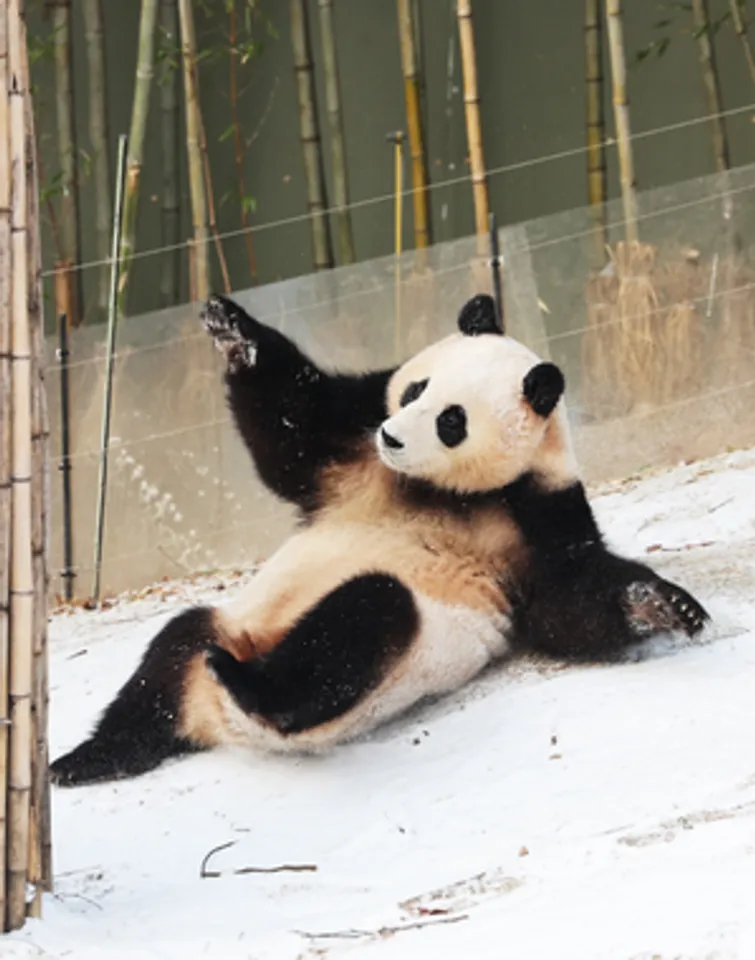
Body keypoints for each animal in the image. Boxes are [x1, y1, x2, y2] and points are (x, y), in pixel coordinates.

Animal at [50, 292, 709, 787]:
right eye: (416, 389)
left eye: (452, 420)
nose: (393, 437)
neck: (440, 490)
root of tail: (214, 721)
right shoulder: (355, 450)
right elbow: (293, 428)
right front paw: (232, 328)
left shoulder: (537, 513)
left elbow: (570, 602)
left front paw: (662, 605)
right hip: (225, 625)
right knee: (163, 665)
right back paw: (90, 758)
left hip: (381, 654)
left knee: (362, 621)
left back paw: (252, 688)